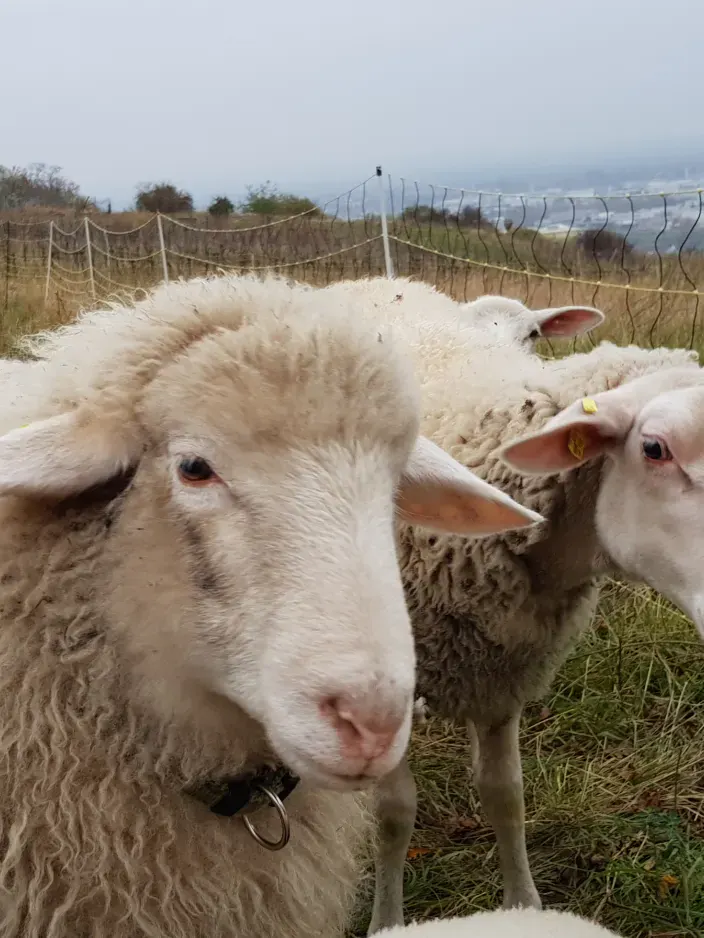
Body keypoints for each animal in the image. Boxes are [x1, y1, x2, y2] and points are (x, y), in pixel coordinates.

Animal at [348, 300, 700, 932]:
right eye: (655, 449)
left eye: (535, 336)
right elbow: (394, 813)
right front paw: (388, 920)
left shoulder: (505, 667)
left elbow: (506, 796)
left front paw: (522, 904)